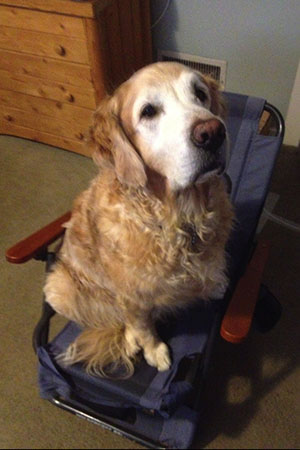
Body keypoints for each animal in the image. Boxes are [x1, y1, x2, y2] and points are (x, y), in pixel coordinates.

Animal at [43, 61, 233, 378]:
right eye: (148, 112)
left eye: (200, 94)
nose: (213, 132)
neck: (179, 219)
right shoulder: (132, 295)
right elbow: (142, 325)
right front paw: (154, 350)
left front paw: (216, 284)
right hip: (58, 288)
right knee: (118, 320)